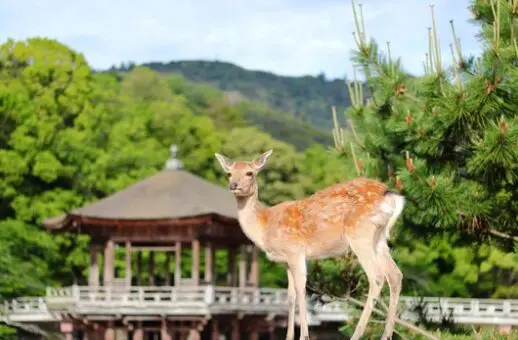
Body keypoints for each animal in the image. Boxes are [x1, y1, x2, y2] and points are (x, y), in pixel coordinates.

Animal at [215, 150, 406, 340]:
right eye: (229, 173)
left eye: (250, 173)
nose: (233, 185)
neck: (265, 226)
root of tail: (390, 194)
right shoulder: (286, 260)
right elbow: (290, 295)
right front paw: (289, 336)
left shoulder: (295, 251)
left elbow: (301, 290)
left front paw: (304, 335)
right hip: (379, 238)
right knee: (395, 274)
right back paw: (386, 334)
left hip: (360, 233)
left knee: (377, 276)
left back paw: (357, 334)